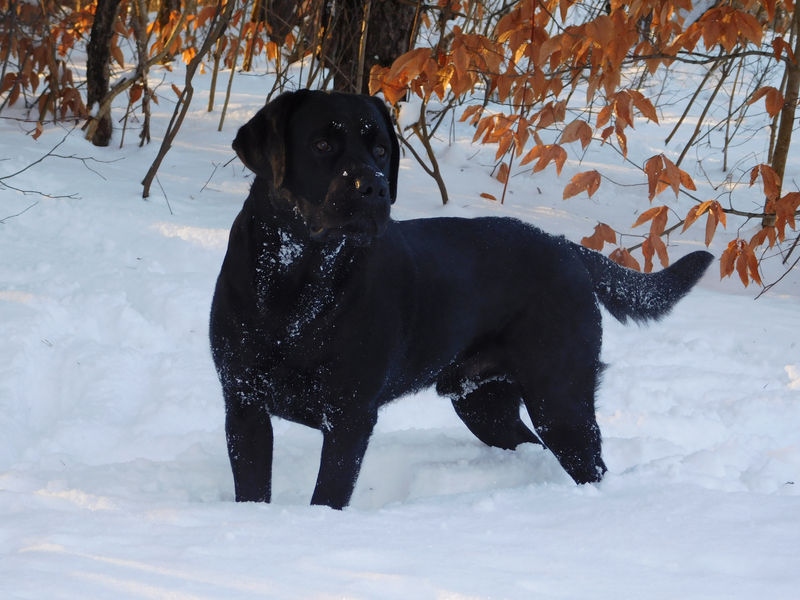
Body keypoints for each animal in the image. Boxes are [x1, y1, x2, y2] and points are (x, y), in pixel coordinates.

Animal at [210, 89, 713, 509]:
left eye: (380, 151)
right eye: (320, 145)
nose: (373, 186)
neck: (297, 284)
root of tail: (566, 246)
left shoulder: (351, 414)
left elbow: (328, 495)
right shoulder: (243, 404)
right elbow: (251, 489)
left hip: (560, 395)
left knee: (589, 463)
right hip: (482, 403)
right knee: (530, 444)